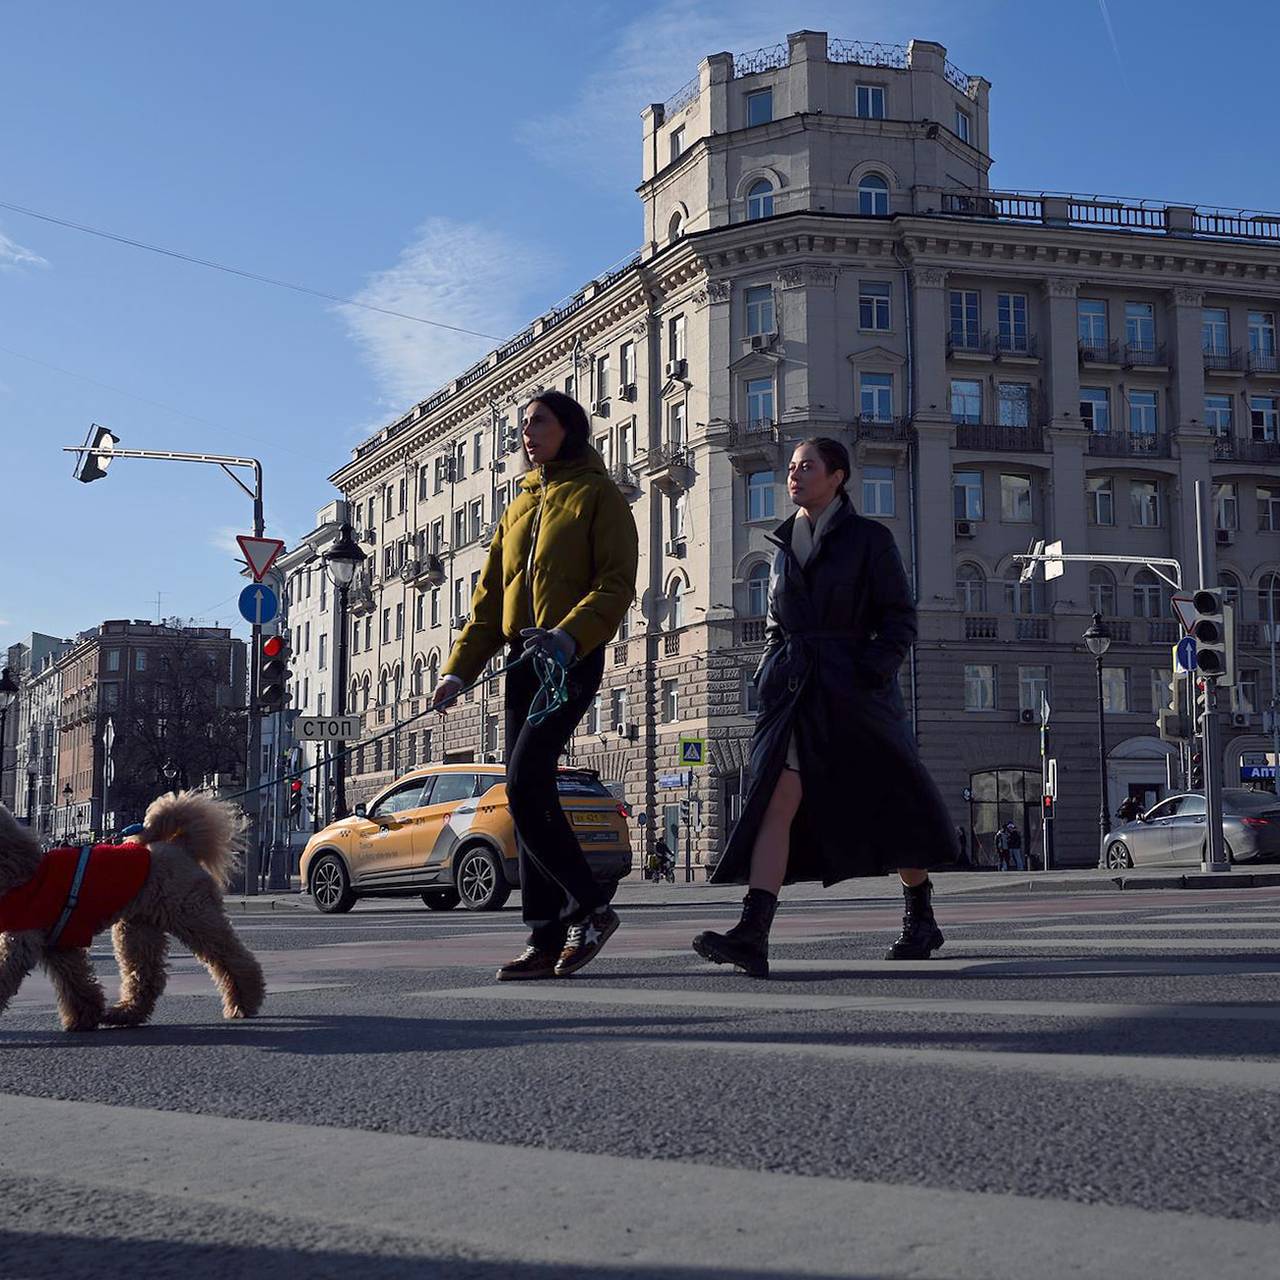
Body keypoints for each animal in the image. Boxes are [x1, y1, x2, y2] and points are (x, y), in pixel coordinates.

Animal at [0, 788, 264, 1029]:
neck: (21, 870)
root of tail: (178, 845)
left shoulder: (21, 941)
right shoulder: (59, 945)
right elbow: (77, 983)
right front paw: (84, 1016)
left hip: (194, 916)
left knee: (233, 958)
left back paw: (242, 1002)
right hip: (137, 929)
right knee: (147, 976)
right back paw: (126, 1013)